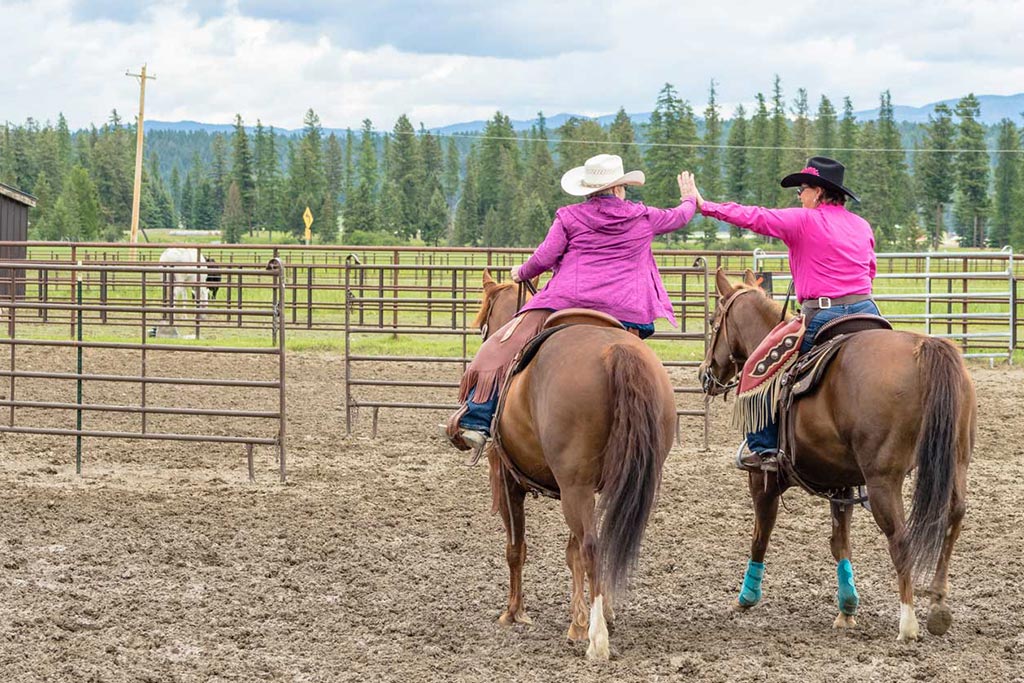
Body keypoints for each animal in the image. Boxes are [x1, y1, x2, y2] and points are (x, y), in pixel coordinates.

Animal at [471, 270, 679, 659]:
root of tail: (615, 350)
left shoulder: (507, 480)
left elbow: (516, 548)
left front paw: (514, 612)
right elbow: (571, 554)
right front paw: (576, 621)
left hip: (574, 487)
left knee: (593, 546)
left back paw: (598, 640)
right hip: (607, 484)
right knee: (603, 543)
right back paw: (602, 617)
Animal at [696, 270, 974, 643]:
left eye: (714, 321)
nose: (705, 374)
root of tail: (922, 349)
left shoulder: (763, 479)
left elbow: (760, 535)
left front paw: (746, 597)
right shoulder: (841, 484)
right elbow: (840, 542)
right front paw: (846, 609)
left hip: (884, 479)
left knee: (901, 537)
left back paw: (908, 621)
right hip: (957, 462)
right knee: (953, 516)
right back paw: (938, 605)